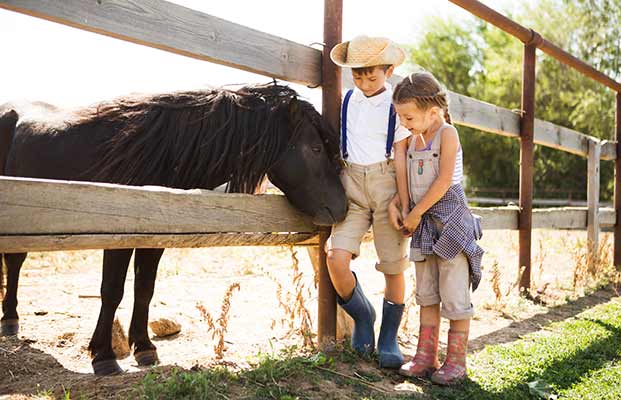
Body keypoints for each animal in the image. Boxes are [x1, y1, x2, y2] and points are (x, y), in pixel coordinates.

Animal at [0, 83, 348, 376]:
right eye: (315, 149)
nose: (342, 208)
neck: (155, 151)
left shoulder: (154, 237)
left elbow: (145, 289)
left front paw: (144, 349)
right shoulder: (118, 236)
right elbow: (112, 291)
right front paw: (103, 357)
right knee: (15, 262)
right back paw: (11, 320)